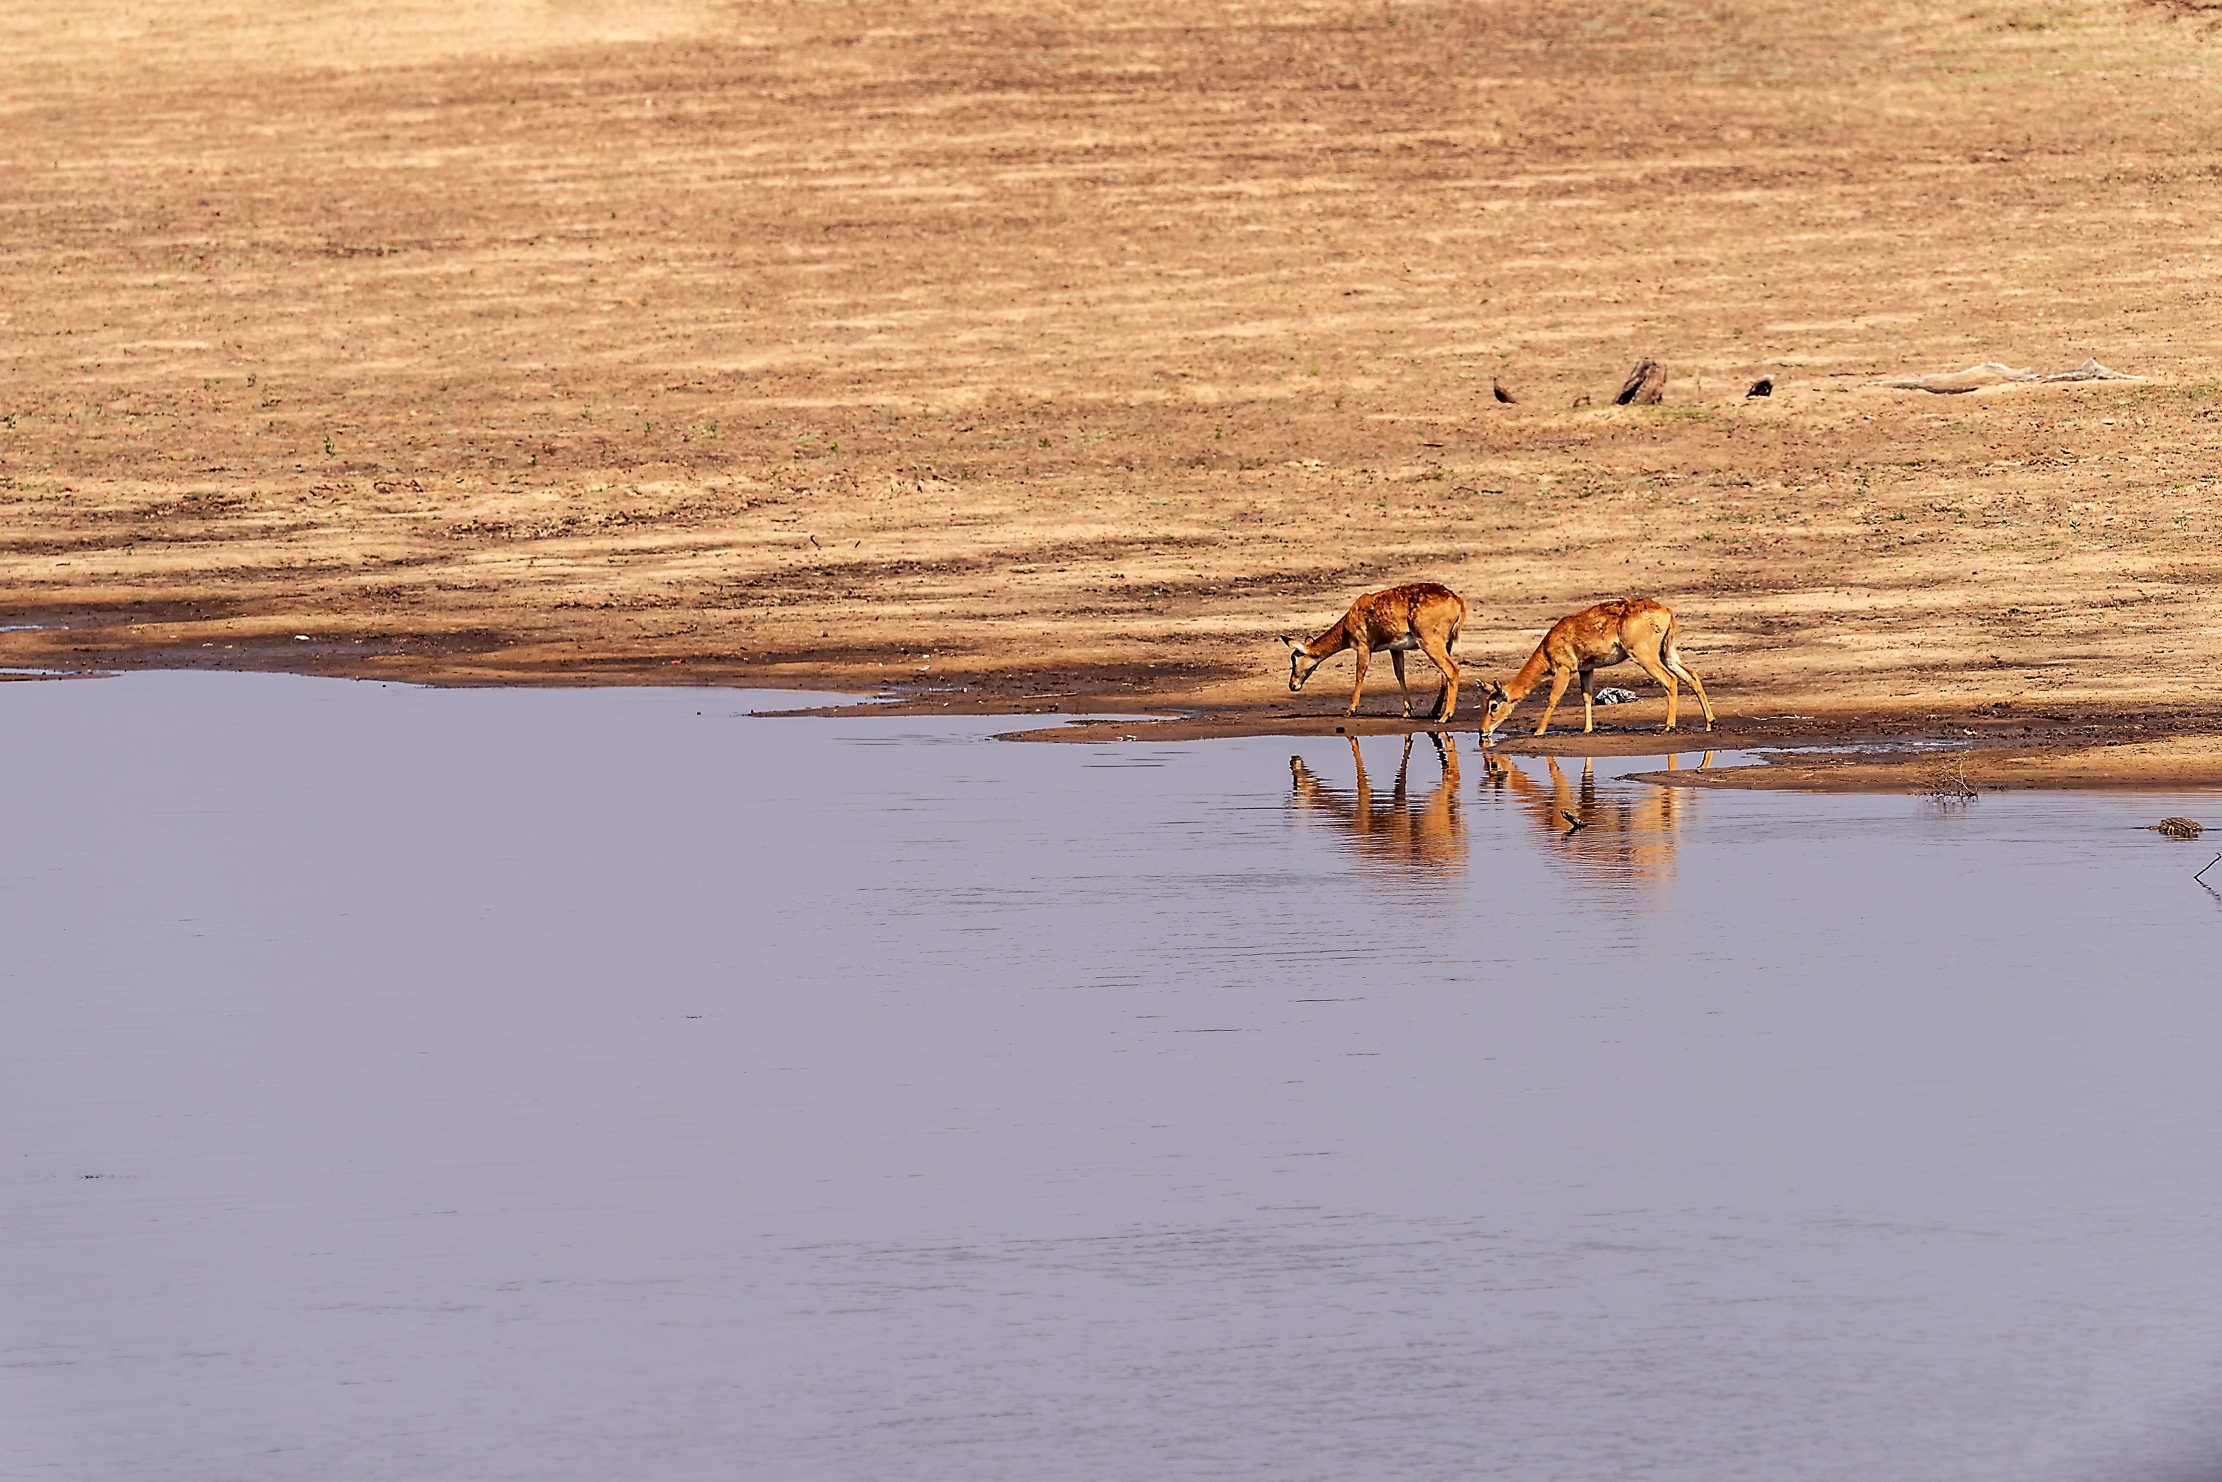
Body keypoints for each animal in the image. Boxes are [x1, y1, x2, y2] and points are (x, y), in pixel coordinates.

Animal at [1281, 582, 1467, 723]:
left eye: (1294, 658)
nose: (1292, 685)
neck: (1347, 624)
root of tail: (1458, 601)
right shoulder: (1395, 648)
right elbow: (1400, 674)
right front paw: (1407, 710)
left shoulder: (1363, 645)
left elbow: (1359, 674)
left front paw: (1351, 710)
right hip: (1446, 644)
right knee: (1444, 674)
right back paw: (1434, 712)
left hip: (1430, 642)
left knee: (1452, 669)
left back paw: (1445, 717)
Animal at [1477, 598, 1713, 738]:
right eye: (1484, 703)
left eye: (1493, 706)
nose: (1482, 732)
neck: (1547, 648)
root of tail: (1667, 611)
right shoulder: (1586, 669)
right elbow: (1587, 696)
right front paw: (1587, 729)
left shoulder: (1565, 668)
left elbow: (1553, 698)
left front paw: (1539, 731)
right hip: (1668, 652)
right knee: (1692, 676)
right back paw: (1709, 722)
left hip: (1644, 655)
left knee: (1670, 680)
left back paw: (1668, 726)